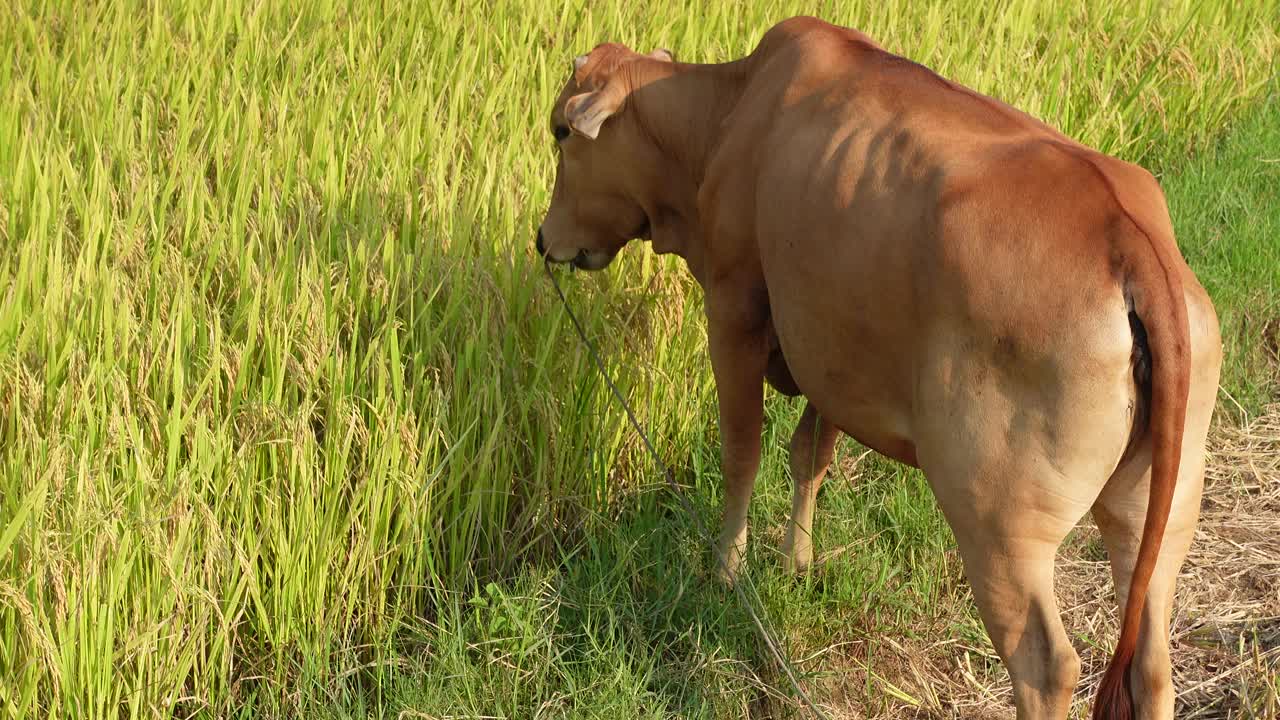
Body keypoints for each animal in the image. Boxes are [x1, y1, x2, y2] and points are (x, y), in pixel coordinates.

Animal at [535, 16, 1223, 717]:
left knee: (1047, 666)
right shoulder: (834, 356)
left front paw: (727, 570)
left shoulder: (734, 307)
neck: (729, 112)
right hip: (1159, 512)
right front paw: (797, 562)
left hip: (1000, 525)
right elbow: (810, 454)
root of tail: (1129, 239)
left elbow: (741, 450)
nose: (544, 241)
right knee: (1151, 664)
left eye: (561, 130)